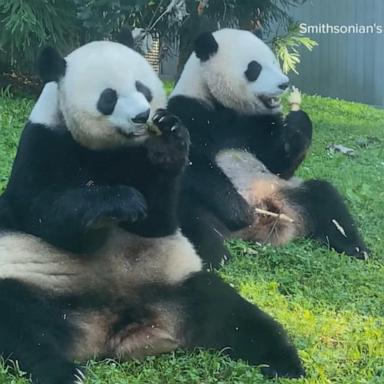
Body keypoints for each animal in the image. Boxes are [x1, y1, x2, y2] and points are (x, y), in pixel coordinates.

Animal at [0, 40, 306, 382]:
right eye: (109, 97)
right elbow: (44, 212)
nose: (141, 115)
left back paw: (286, 362)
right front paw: (120, 202)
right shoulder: (43, 144)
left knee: (235, 315)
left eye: (143, 88)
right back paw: (64, 371)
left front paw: (170, 141)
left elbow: (157, 219)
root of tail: (121, 325)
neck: (110, 150)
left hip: (179, 286)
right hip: (41, 288)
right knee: (21, 326)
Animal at [169, 28, 368, 268]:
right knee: (191, 211)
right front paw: (239, 211)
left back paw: (356, 248)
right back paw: (216, 256)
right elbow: (193, 163)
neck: (224, 105)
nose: (284, 84)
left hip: (287, 191)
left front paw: (297, 122)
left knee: (326, 198)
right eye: (255, 68)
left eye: (274, 61)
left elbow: (278, 163)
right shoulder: (189, 110)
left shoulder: (260, 123)